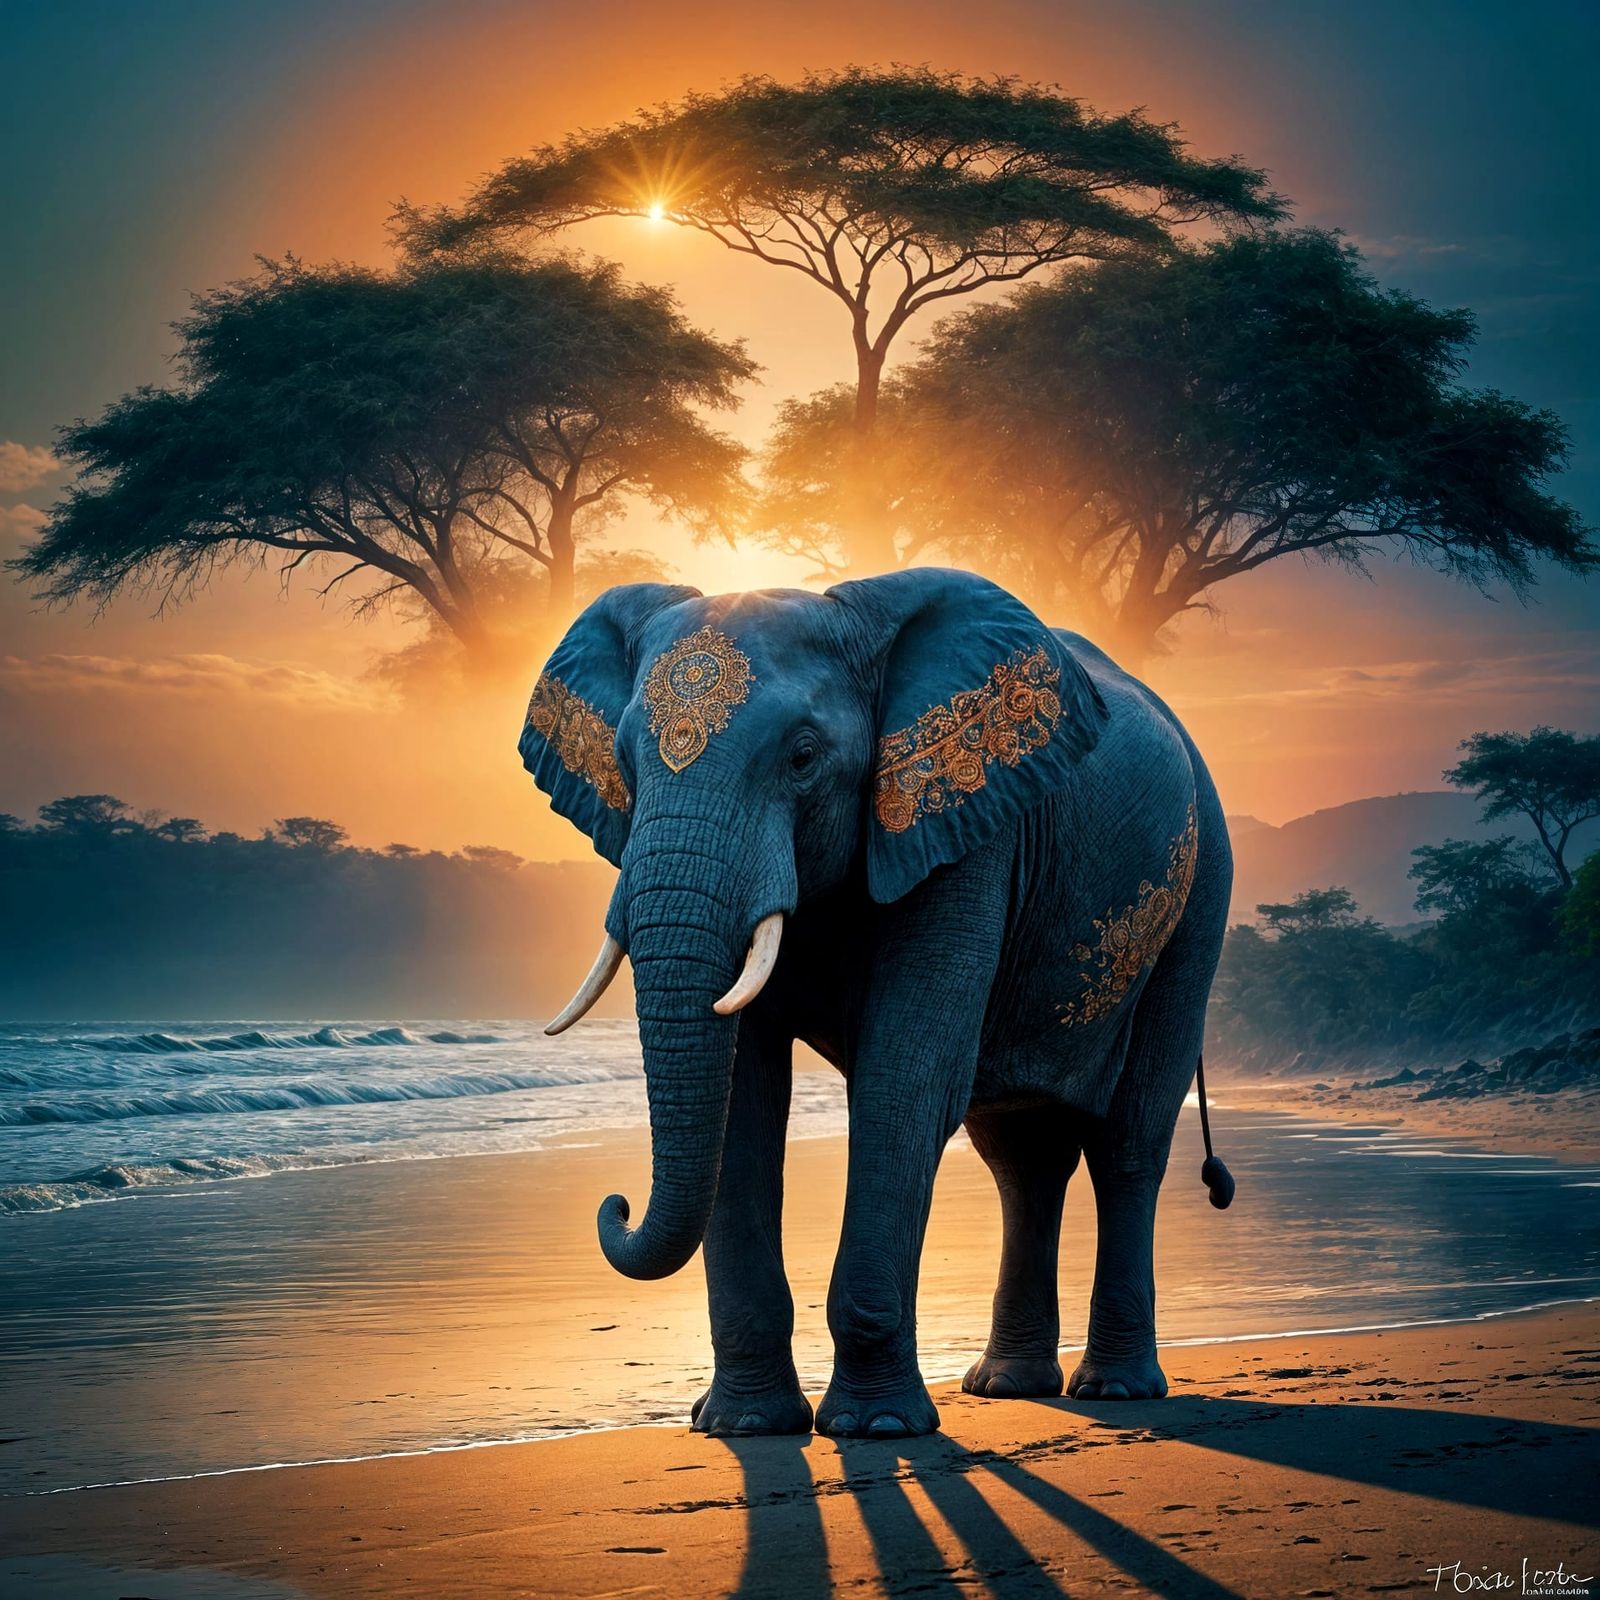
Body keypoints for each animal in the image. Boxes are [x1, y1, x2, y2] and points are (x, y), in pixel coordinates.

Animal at [519, 568, 1232, 1439]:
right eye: (623, 762)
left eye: (802, 757)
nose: (615, 1204)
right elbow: (746, 1095)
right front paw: (745, 1427)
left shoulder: (966, 829)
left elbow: (908, 1077)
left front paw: (877, 1429)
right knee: (1021, 1157)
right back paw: (1007, 1386)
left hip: (1199, 893)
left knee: (1128, 1142)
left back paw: (1117, 1391)